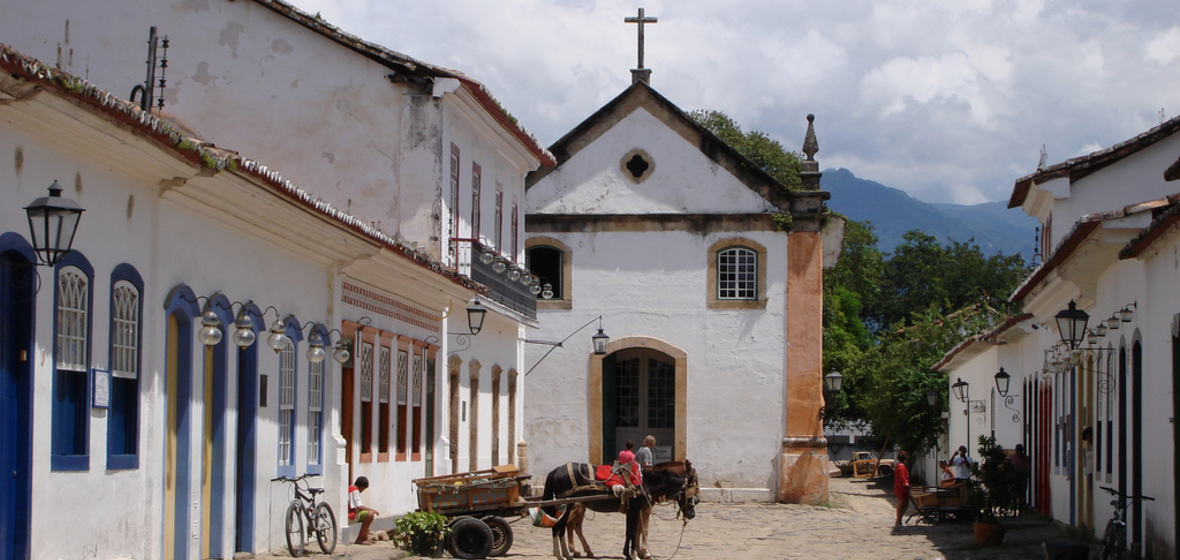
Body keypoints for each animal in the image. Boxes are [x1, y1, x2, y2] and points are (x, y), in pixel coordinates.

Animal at [540, 462, 693, 560]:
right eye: (690, 491)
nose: (691, 514)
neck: (644, 481)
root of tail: (555, 471)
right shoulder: (636, 509)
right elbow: (634, 532)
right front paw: (635, 555)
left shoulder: (632, 510)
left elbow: (630, 531)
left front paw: (628, 553)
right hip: (566, 504)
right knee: (558, 527)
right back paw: (560, 554)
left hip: (568, 505)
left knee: (563, 528)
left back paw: (567, 554)